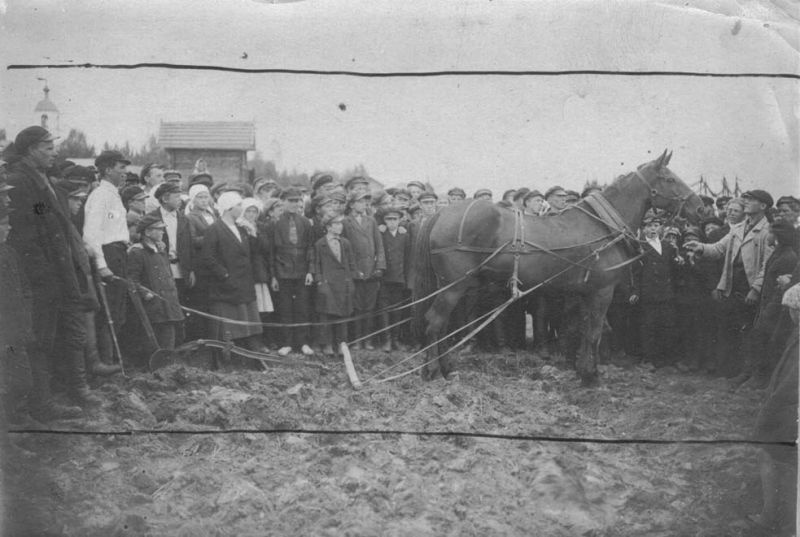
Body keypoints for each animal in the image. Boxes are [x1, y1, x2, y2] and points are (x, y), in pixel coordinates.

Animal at [416, 151, 704, 386]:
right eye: (669, 179)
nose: (701, 209)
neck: (602, 226)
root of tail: (440, 214)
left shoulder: (586, 292)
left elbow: (587, 330)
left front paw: (584, 370)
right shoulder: (602, 291)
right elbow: (595, 332)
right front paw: (591, 377)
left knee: (442, 326)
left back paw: (446, 368)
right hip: (453, 286)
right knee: (434, 322)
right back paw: (433, 372)